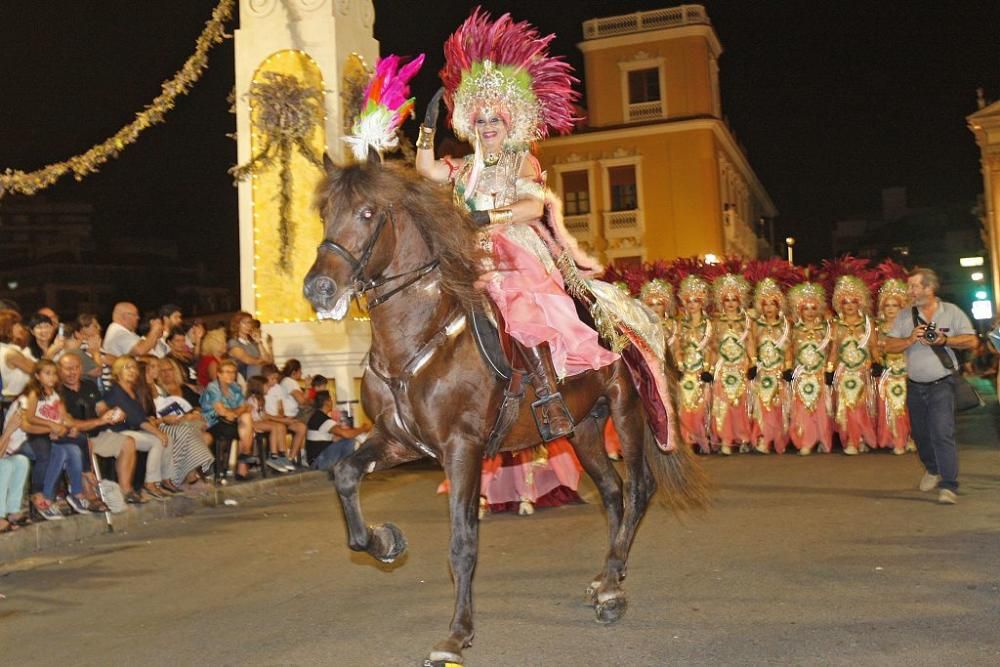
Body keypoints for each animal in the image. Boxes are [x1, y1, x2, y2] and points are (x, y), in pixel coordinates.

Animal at [302, 153, 704, 667]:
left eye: (368, 213)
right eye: (324, 213)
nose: (318, 288)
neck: (418, 336)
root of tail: (631, 312)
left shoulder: (462, 448)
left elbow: (462, 541)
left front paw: (456, 635)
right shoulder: (398, 440)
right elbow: (345, 477)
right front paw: (385, 541)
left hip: (627, 411)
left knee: (637, 489)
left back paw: (613, 588)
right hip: (583, 427)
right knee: (613, 492)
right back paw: (606, 577)